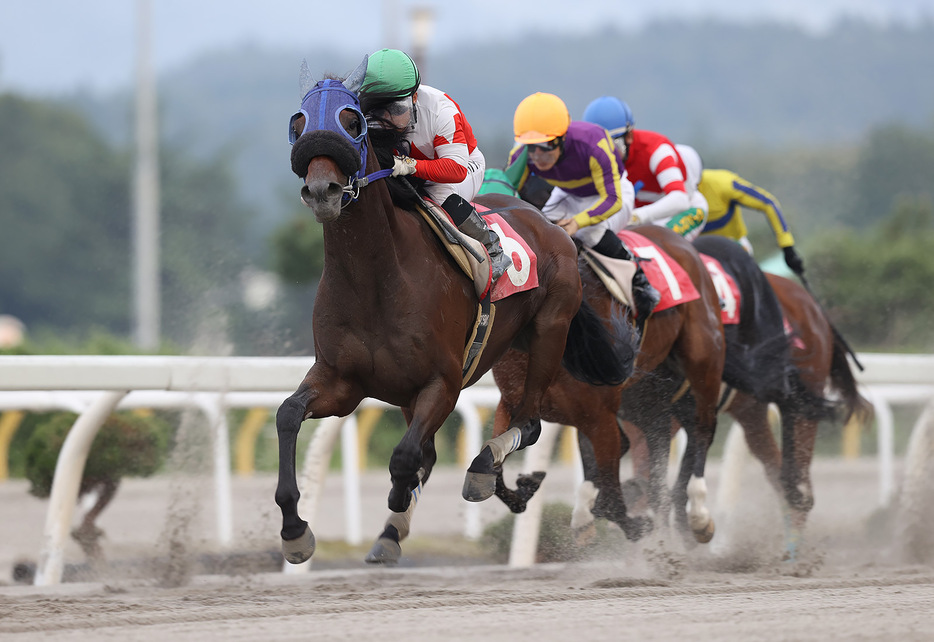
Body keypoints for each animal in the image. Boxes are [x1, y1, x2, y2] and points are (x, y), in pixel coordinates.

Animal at [272, 76, 636, 560]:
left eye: (352, 123)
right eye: (299, 124)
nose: (321, 190)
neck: (375, 280)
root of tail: (550, 224)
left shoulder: (441, 383)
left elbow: (406, 458)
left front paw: (398, 499)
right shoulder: (341, 382)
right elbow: (288, 414)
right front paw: (295, 530)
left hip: (549, 331)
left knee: (530, 422)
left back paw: (483, 468)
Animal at [494, 222, 728, 544]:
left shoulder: (599, 417)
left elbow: (611, 500)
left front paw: (637, 525)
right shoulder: (511, 405)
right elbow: (493, 469)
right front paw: (526, 486)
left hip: (704, 359)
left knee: (703, 427)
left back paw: (698, 517)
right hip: (649, 391)